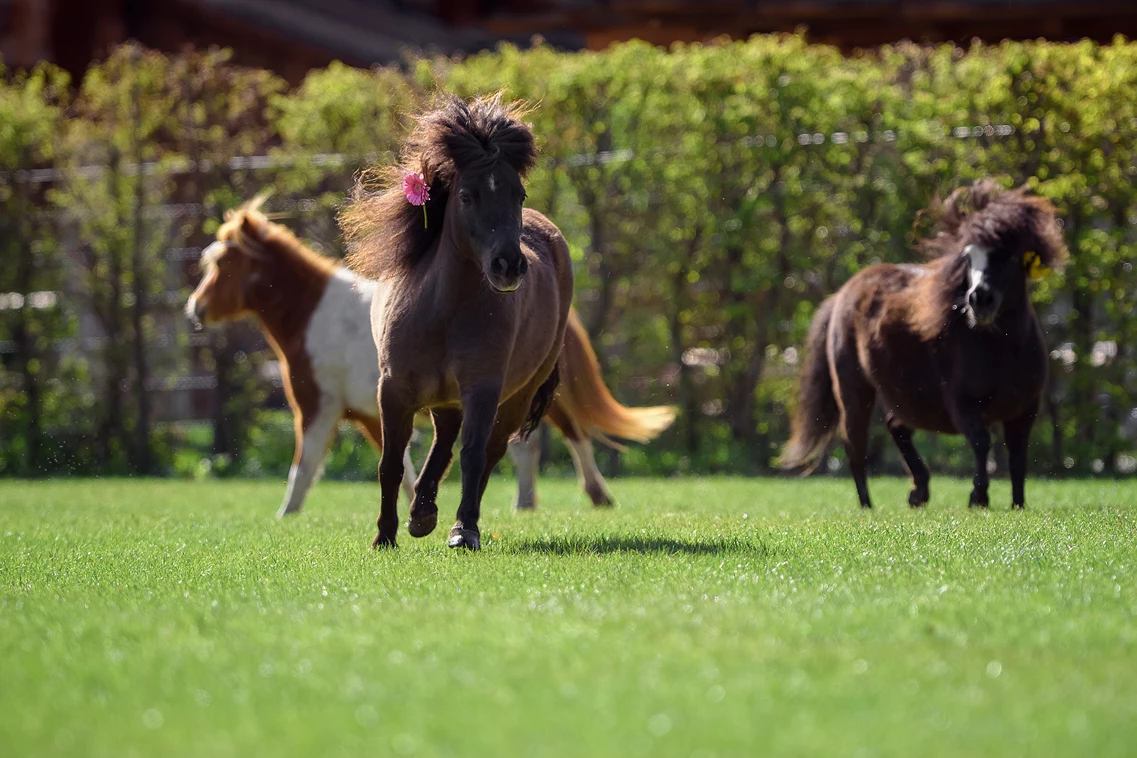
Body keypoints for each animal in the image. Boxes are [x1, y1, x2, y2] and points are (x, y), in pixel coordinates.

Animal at [186, 201, 673, 518]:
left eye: (222, 263)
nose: (195, 309)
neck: (318, 315)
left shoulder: (317, 409)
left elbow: (302, 470)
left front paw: (285, 516)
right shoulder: (372, 412)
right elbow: (399, 465)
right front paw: (415, 507)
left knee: (569, 435)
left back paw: (593, 495)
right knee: (528, 445)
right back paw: (529, 502)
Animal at [334, 93, 568, 552]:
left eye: (518, 193)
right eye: (466, 196)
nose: (508, 266)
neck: (442, 311)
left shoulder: (483, 386)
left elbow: (473, 455)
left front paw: (465, 530)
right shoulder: (394, 389)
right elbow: (390, 463)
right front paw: (385, 536)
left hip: (514, 395)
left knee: (486, 452)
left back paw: (441, 517)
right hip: (444, 396)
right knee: (442, 442)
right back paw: (421, 514)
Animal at [782, 178, 1064, 509]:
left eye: (1006, 254)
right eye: (968, 258)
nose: (979, 299)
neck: (1003, 351)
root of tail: (841, 294)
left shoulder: (1025, 410)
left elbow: (1018, 459)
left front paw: (1017, 504)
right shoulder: (962, 403)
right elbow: (981, 442)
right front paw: (978, 497)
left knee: (895, 426)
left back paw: (919, 490)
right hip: (854, 389)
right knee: (855, 445)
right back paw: (868, 506)